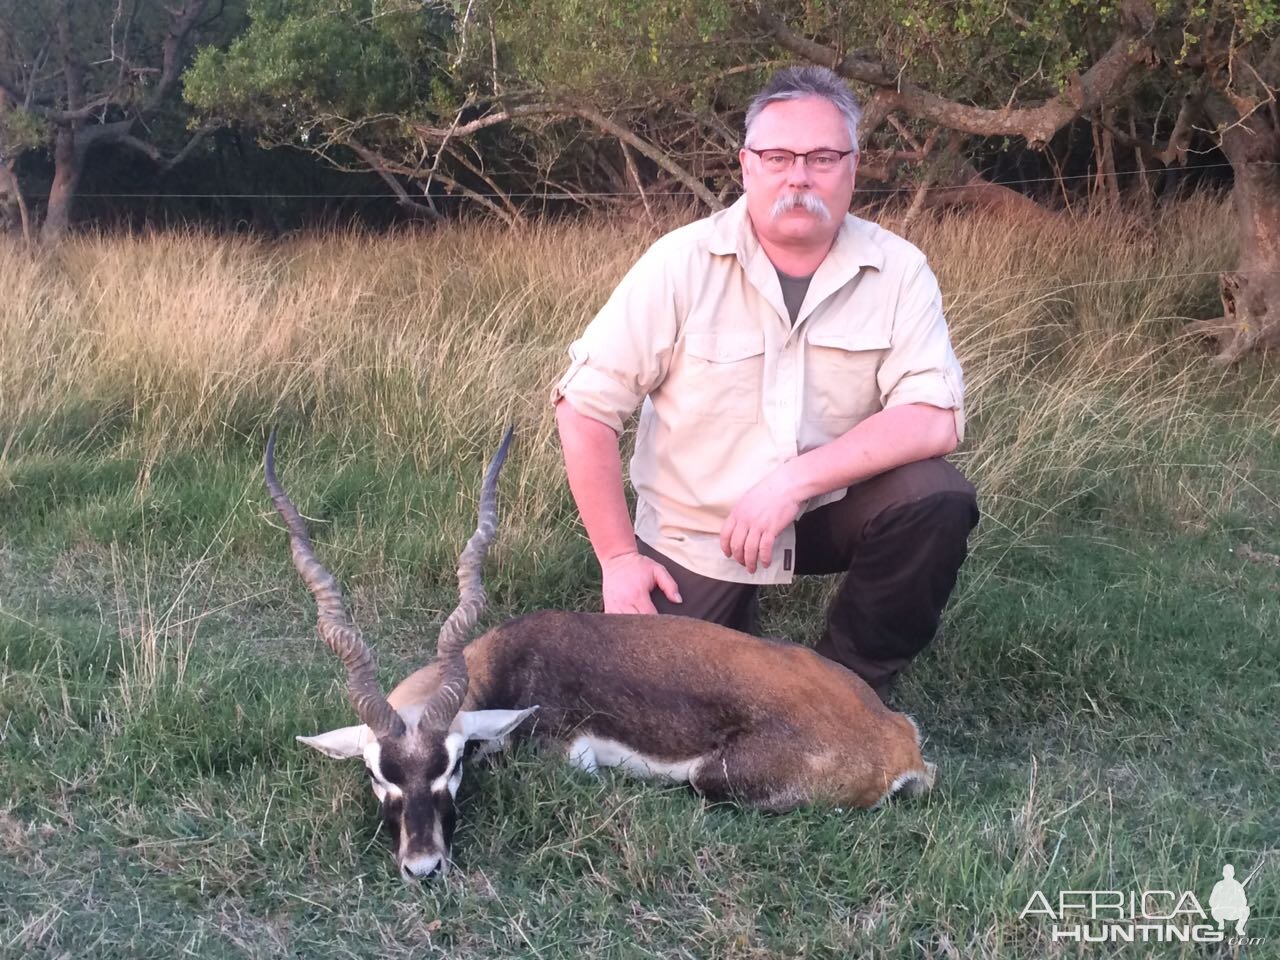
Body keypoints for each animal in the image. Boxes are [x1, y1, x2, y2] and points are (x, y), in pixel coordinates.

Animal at [264, 432, 936, 885]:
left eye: (451, 768)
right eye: (378, 775)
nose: (424, 866)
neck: (508, 661)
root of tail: (897, 741)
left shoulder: (567, 754)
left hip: (712, 777)